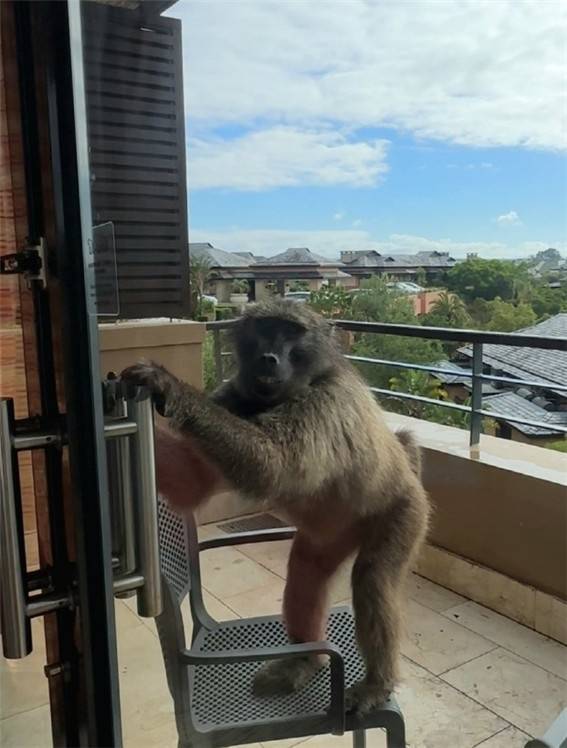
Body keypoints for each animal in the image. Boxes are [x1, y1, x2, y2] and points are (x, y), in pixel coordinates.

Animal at [121, 299, 430, 716]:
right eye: (265, 328)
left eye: (291, 332)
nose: (269, 358)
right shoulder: (233, 395)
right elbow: (191, 482)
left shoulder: (328, 402)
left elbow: (270, 466)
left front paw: (166, 385)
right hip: (331, 531)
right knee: (306, 574)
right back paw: (306, 662)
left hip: (403, 509)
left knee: (373, 578)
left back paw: (375, 685)